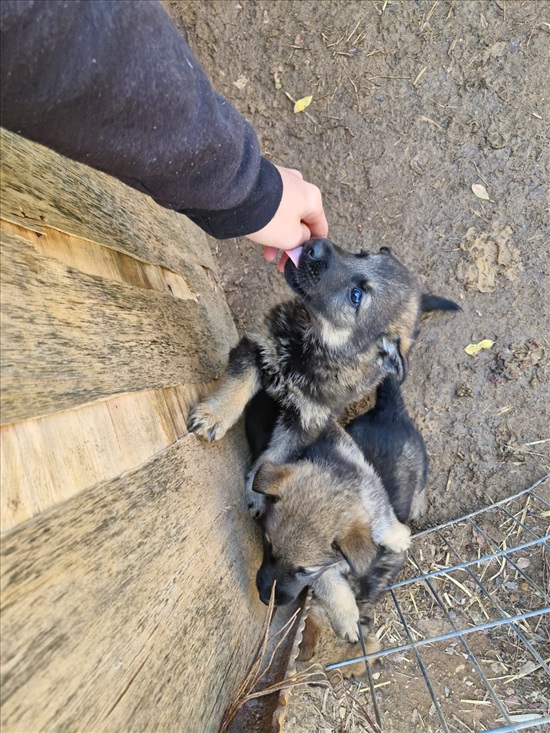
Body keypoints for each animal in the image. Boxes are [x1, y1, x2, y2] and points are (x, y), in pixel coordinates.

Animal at [252, 374, 430, 656]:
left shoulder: (372, 494)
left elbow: (384, 521)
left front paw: (398, 536)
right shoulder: (325, 574)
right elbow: (336, 592)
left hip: (419, 465)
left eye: (304, 570)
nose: (264, 597)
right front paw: (347, 620)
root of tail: (388, 411)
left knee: (421, 484)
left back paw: (418, 505)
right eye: (268, 546)